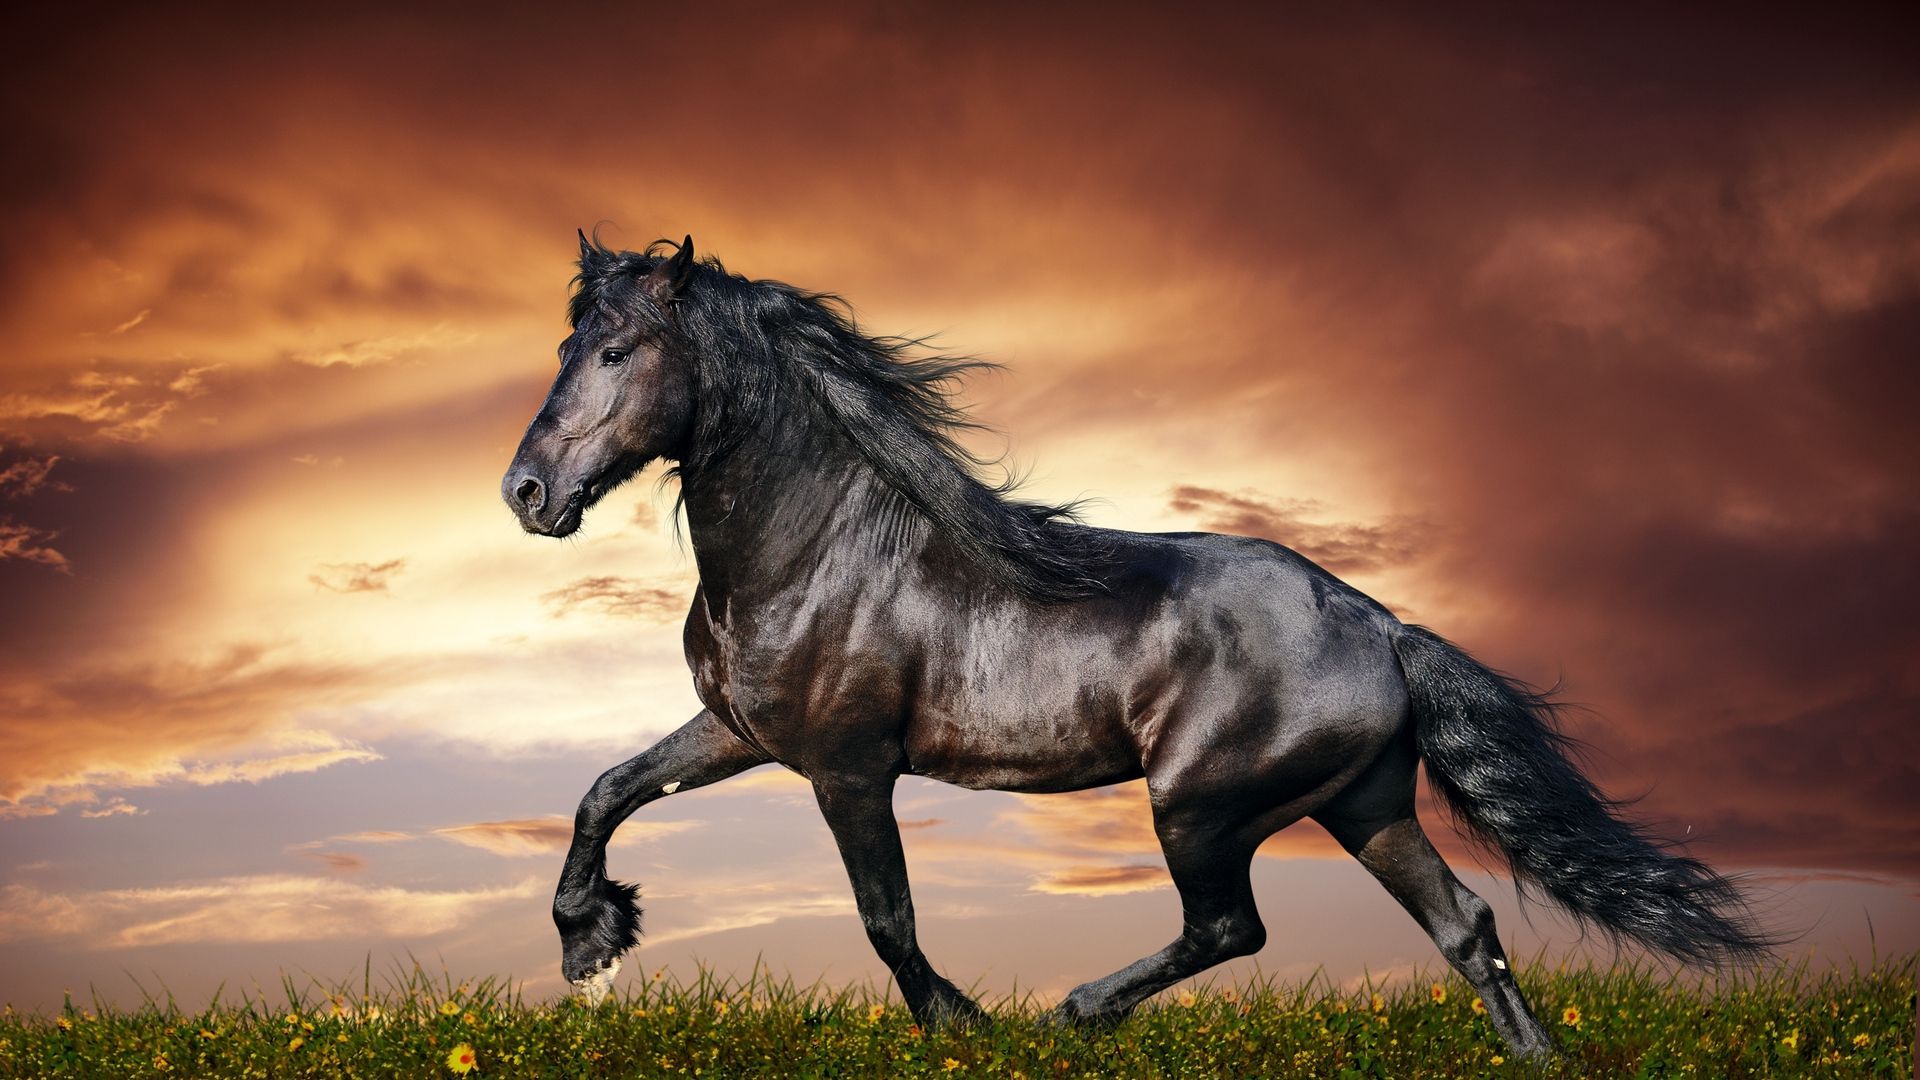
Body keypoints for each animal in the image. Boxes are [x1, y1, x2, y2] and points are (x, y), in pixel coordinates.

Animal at [506, 233, 1766, 1053]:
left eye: (618, 352)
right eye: (567, 346)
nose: (527, 494)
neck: (820, 547)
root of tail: (1381, 626)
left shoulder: (847, 767)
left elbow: (886, 916)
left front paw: (965, 1026)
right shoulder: (742, 731)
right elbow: (607, 789)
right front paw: (589, 943)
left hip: (1200, 804)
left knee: (1232, 927)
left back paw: (1076, 1012)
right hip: (1364, 804)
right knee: (1466, 929)